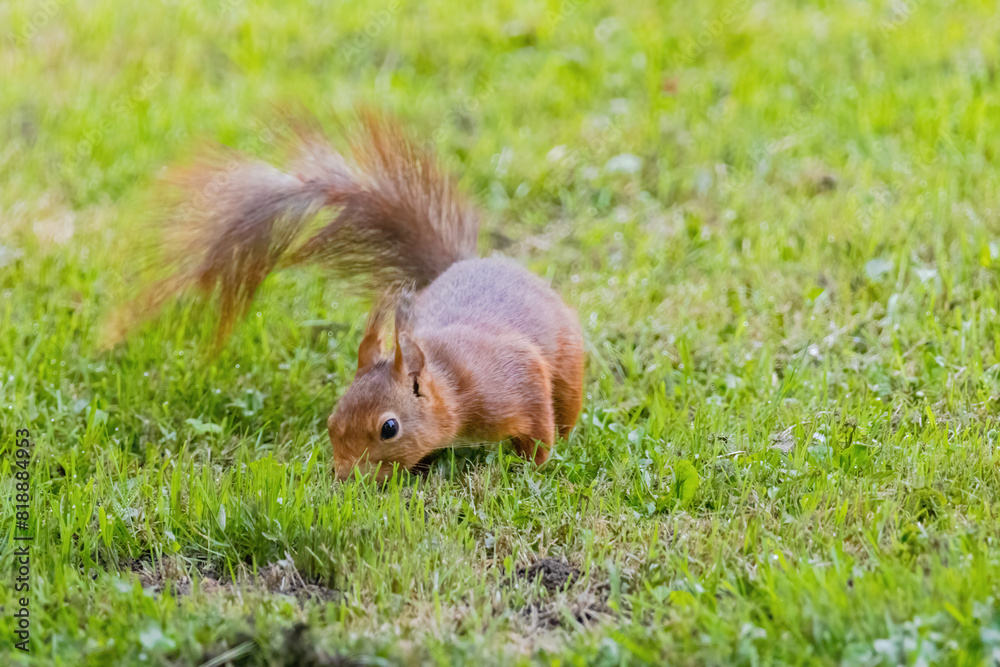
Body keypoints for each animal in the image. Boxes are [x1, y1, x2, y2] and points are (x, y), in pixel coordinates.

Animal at [107, 112, 584, 481]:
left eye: (389, 428)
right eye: (333, 418)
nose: (344, 476)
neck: (451, 383)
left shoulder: (513, 379)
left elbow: (538, 427)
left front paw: (534, 465)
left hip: (569, 362)